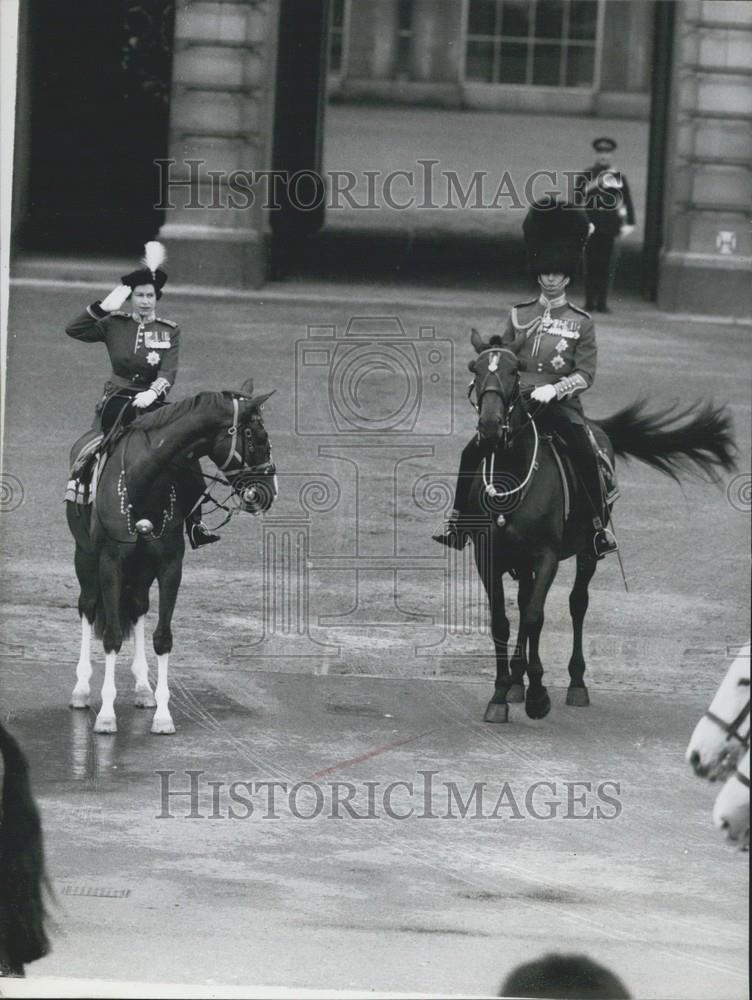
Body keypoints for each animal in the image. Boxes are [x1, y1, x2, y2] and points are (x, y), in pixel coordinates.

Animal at [67, 380, 276, 736]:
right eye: (256, 437)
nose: (269, 492)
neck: (144, 478)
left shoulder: (169, 568)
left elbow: (162, 638)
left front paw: (163, 715)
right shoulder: (111, 564)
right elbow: (111, 636)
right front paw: (106, 715)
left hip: (141, 571)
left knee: (137, 607)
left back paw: (142, 688)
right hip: (86, 558)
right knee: (89, 607)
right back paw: (81, 689)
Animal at [464, 332, 736, 724]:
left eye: (515, 372)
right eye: (476, 368)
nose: (489, 426)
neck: (511, 475)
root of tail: (595, 426)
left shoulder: (546, 556)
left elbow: (534, 617)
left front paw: (538, 696)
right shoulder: (488, 558)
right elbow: (502, 621)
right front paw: (500, 694)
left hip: (587, 551)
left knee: (577, 604)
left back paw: (576, 683)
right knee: (527, 599)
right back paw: (516, 681)